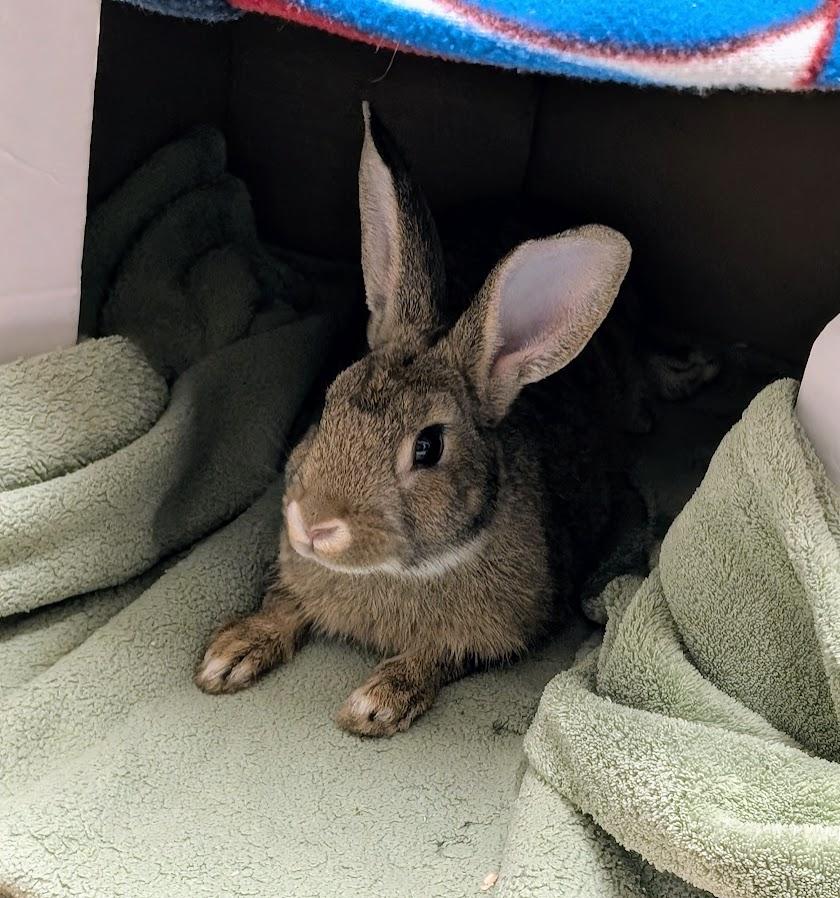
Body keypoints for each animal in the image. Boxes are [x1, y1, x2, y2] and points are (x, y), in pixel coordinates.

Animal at [194, 104, 689, 736]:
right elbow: (283, 606)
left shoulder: (498, 631)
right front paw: (229, 654)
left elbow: (439, 654)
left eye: (428, 447)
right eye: (329, 401)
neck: (398, 571)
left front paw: (376, 703)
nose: (312, 524)